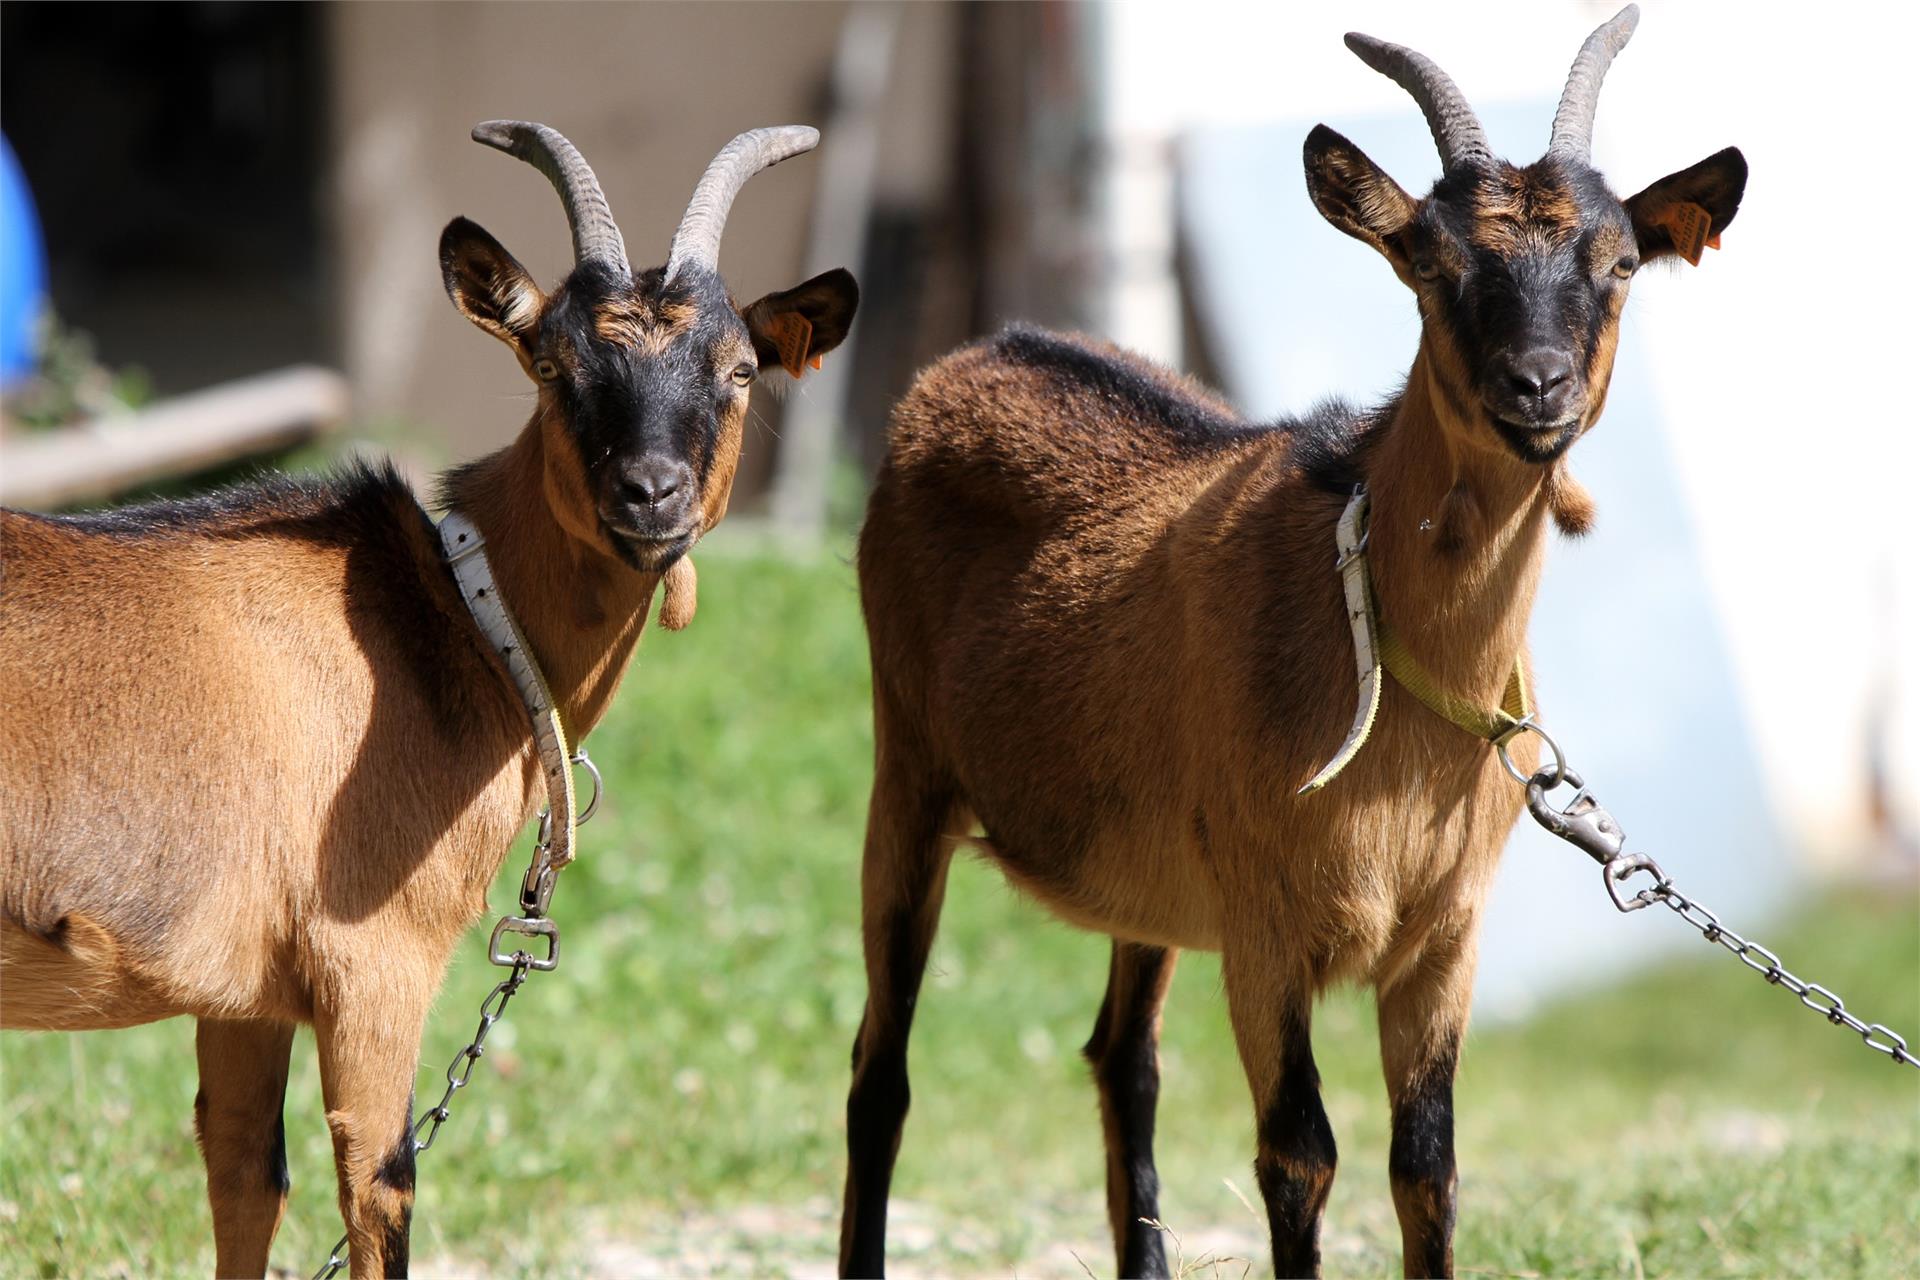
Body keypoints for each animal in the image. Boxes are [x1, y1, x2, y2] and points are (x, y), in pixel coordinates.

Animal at [0, 122, 856, 1280]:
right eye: (554, 364)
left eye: (739, 369)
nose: (650, 495)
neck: (453, 608)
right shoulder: (373, 959)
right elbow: (380, 1188)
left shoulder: (244, 991)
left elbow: (243, 1177)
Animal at [840, 10, 1743, 1280]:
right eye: (1431, 261)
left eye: (1618, 264)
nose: (1538, 386)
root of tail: (972, 356)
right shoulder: (1266, 926)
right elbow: (1298, 1155)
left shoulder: (1443, 936)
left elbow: (1428, 1164)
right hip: (907, 773)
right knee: (882, 1068)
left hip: (1142, 875)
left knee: (1123, 1055)